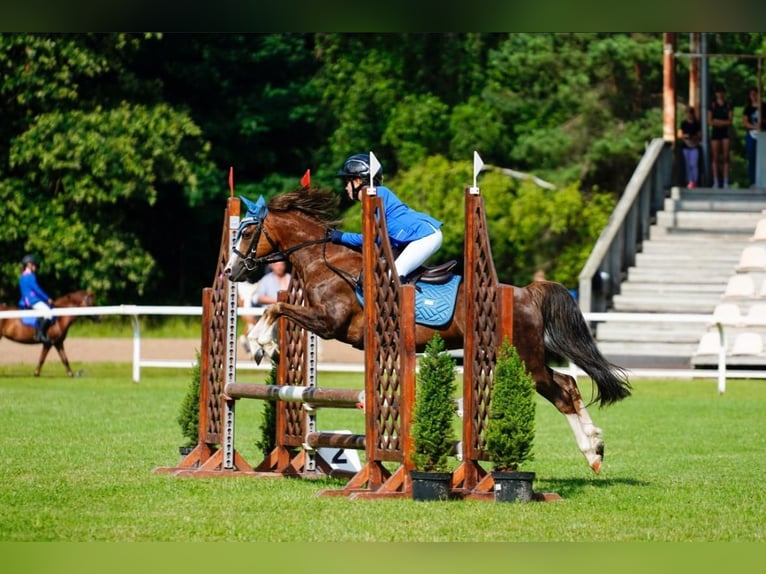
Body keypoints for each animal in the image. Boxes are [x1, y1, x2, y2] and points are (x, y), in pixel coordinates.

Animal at [223, 187, 631, 474]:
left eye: (247, 232)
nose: (230, 272)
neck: (326, 262)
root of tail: (527, 292)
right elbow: (279, 308)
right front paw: (262, 346)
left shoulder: (328, 323)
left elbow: (276, 307)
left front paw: (259, 345)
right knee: (568, 384)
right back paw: (595, 450)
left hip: (524, 360)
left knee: (563, 390)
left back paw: (593, 452)